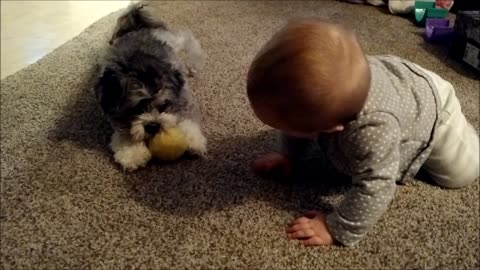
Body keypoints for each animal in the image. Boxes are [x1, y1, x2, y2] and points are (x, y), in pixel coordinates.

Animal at [93, 2, 206, 171]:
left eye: (164, 106)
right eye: (135, 110)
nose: (153, 125)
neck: (141, 67)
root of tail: (138, 26)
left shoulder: (184, 99)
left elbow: (187, 120)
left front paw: (192, 140)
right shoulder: (113, 110)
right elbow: (124, 131)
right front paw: (132, 153)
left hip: (173, 41)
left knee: (186, 38)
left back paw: (192, 63)